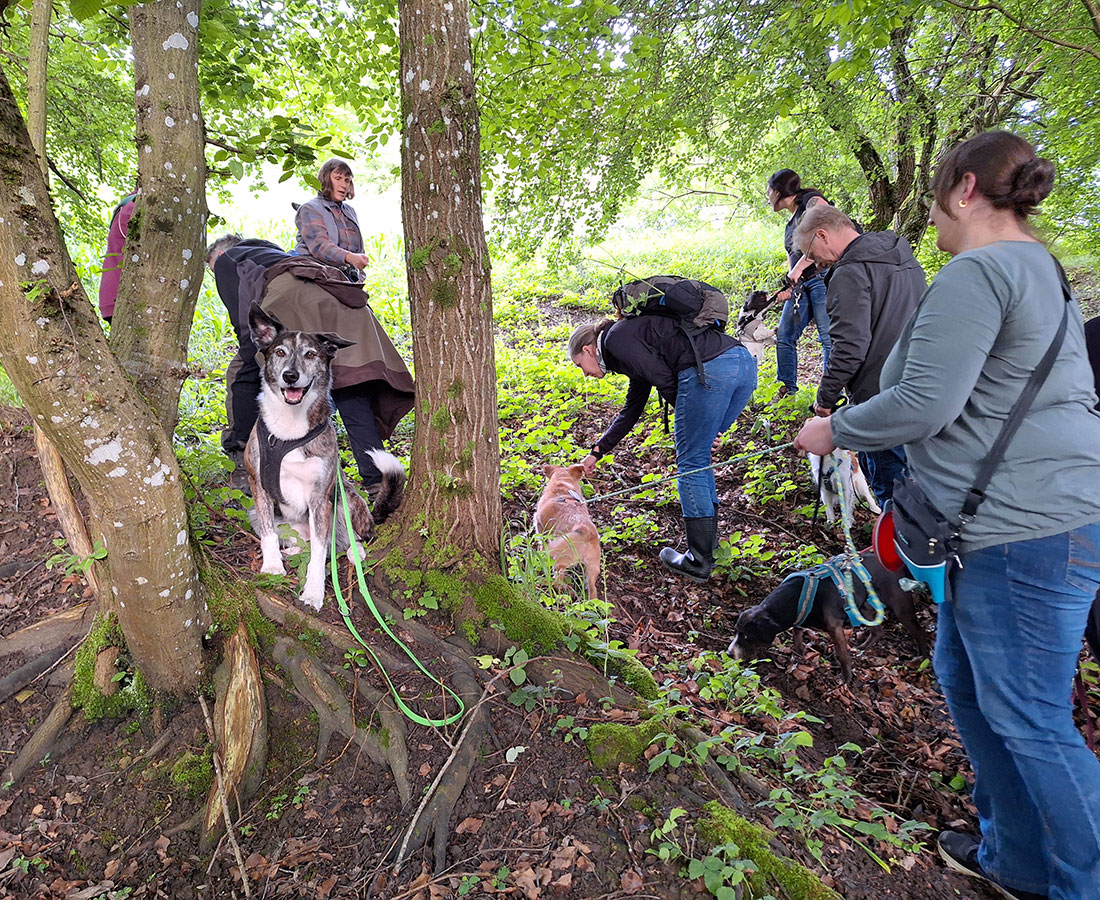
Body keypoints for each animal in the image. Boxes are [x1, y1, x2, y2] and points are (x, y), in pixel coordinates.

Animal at [247, 303, 407, 611]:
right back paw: (292, 550)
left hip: (347, 499)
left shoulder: (321, 498)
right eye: (279, 352)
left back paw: (355, 552)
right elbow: (269, 535)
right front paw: (272, 567)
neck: (288, 430)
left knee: (350, 540)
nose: (290, 376)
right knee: (299, 541)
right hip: (258, 514)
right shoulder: (258, 487)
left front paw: (313, 592)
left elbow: (321, 555)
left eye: (311, 354)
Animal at [534, 462, 602, 594]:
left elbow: (542, 543)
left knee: (558, 578)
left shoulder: (541, 528)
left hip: (561, 558)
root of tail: (587, 532)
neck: (563, 484)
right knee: (592, 588)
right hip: (593, 568)